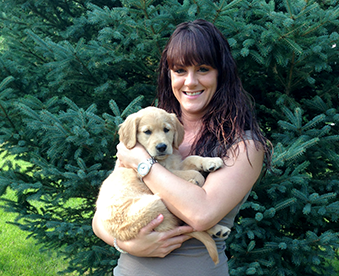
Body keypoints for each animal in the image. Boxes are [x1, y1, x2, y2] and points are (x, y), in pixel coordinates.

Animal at [95, 106, 231, 264]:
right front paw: (198, 179)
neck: (163, 159)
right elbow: (193, 173)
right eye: (147, 132)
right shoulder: (165, 173)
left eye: (166, 129)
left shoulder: (176, 164)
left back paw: (219, 230)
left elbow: (191, 158)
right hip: (156, 202)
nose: (161, 147)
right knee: (185, 223)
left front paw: (211, 161)